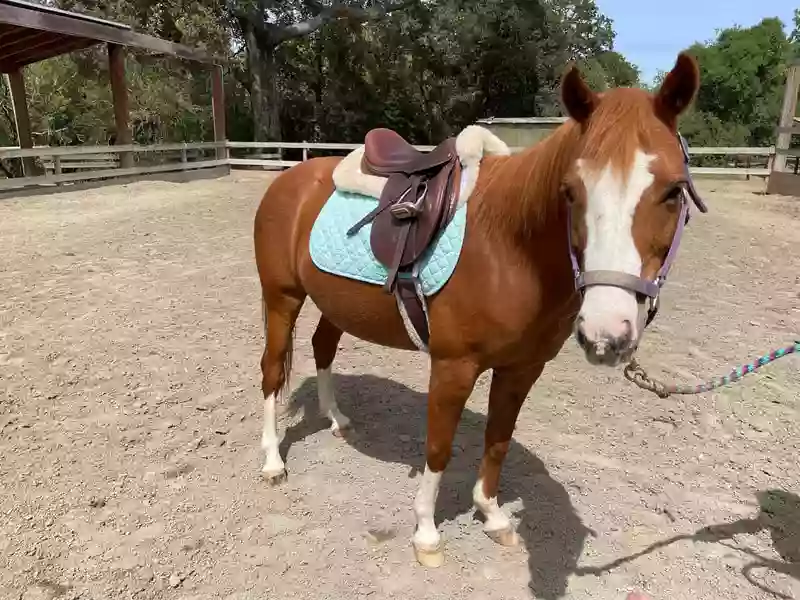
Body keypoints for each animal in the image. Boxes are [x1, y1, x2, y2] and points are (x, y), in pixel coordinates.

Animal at [253, 51, 704, 568]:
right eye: (570, 190)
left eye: (674, 191)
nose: (606, 334)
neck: (508, 246)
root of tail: (290, 178)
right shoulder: (454, 366)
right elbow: (439, 446)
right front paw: (427, 534)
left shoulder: (522, 368)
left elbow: (498, 439)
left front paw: (492, 515)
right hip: (282, 298)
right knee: (272, 371)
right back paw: (272, 461)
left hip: (335, 303)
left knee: (323, 346)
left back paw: (337, 420)